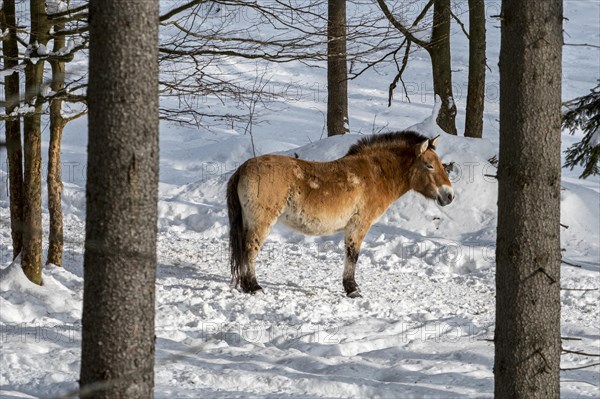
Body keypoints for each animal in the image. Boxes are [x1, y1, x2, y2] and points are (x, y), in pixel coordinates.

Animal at [227, 131, 452, 296]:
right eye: (429, 165)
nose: (449, 195)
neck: (374, 175)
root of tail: (243, 167)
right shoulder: (358, 225)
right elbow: (353, 255)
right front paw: (352, 289)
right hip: (261, 222)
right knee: (250, 249)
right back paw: (253, 287)